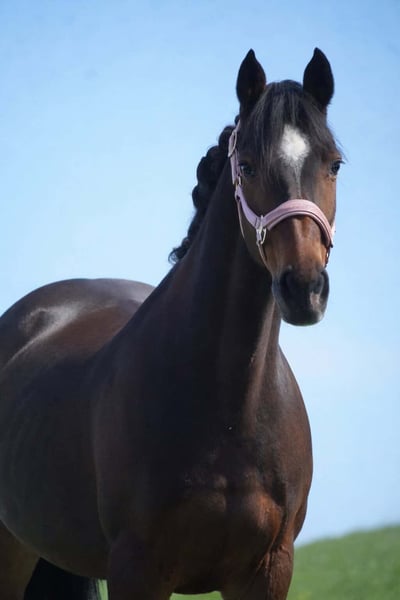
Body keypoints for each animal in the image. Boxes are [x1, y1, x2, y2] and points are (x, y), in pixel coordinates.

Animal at [0, 48, 341, 600]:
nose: (304, 287)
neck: (231, 410)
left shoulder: (268, 570)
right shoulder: (137, 569)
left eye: (333, 164)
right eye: (247, 166)